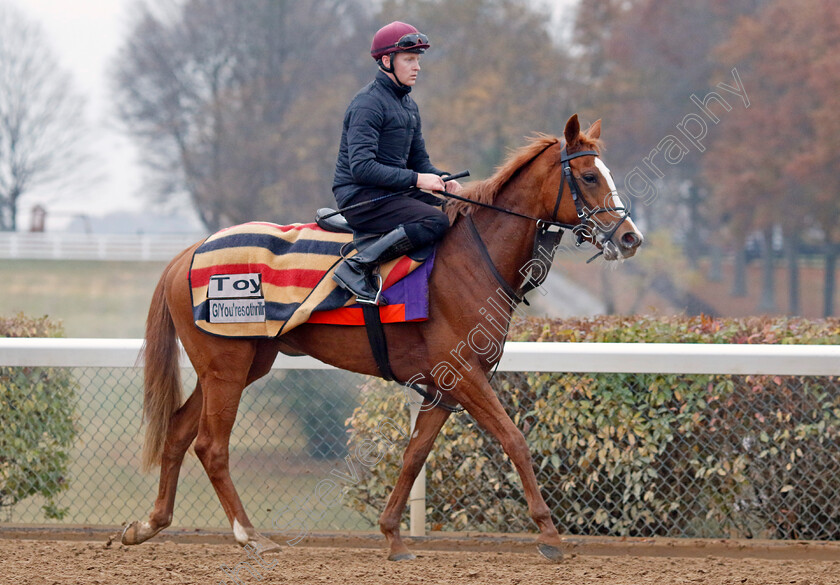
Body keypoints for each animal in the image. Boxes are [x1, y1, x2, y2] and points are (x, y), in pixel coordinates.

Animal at [120, 115, 644, 560]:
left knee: (178, 431)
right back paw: (250, 535)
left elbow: (415, 455)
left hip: (242, 365)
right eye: (590, 176)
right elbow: (514, 439)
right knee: (211, 445)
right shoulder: (465, 376)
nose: (630, 238)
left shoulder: (445, 387)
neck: (473, 258)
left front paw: (393, 535)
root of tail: (188, 251)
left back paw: (149, 524)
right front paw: (550, 535)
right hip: (225, 366)